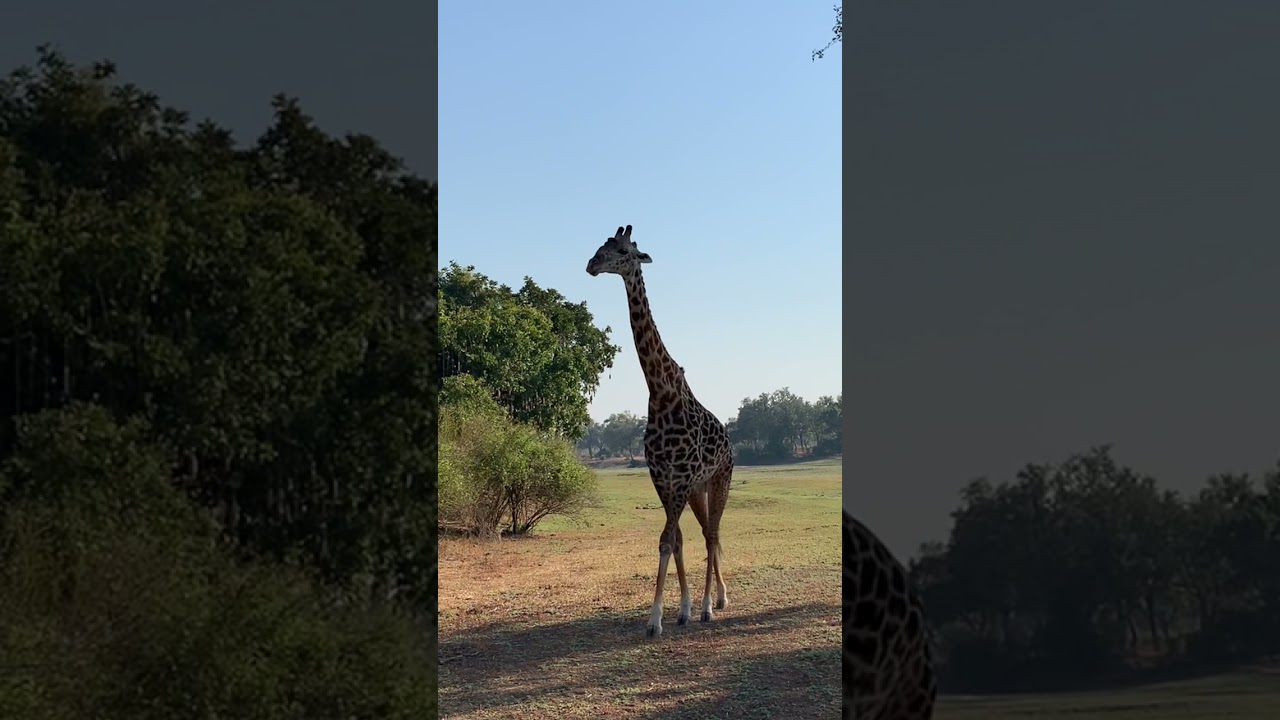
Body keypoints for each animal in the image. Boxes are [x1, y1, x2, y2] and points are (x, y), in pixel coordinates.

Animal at [586, 224, 733, 639]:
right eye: (600, 247)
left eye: (622, 251)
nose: (591, 265)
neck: (660, 389)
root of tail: (731, 444)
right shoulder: (663, 478)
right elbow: (674, 540)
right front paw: (676, 611)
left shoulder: (679, 479)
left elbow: (669, 540)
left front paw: (660, 619)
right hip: (699, 489)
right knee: (708, 534)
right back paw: (717, 598)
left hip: (719, 479)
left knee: (712, 535)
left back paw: (711, 606)